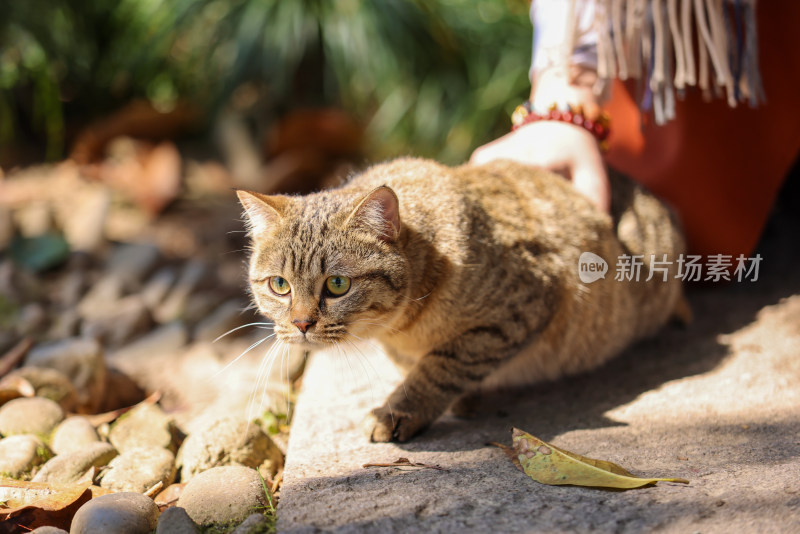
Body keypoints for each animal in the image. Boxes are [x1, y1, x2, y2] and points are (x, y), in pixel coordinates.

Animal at [238, 159, 688, 444]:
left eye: (336, 285)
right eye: (279, 285)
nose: (301, 324)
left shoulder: (518, 309)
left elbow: (441, 367)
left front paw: (401, 410)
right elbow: (426, 368)